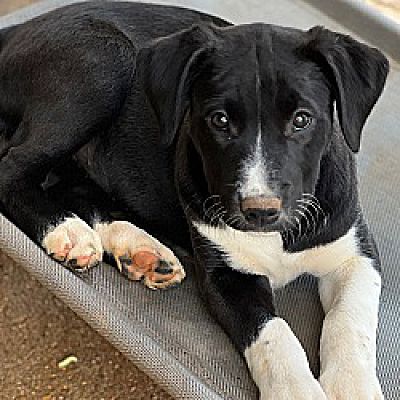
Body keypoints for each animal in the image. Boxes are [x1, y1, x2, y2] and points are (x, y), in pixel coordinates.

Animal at [0, 1, 388, 398]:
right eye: (219, 120)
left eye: (301, 120)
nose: (259, 212)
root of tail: (17, 29)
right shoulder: (225, 276)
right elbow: (273, 334)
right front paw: (296, 389)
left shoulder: (356, 254)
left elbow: (350, 320)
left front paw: (353, 385)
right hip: (105, 60)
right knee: (12, 167)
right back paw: (66, 232)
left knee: (72, 185)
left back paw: (138, 248)